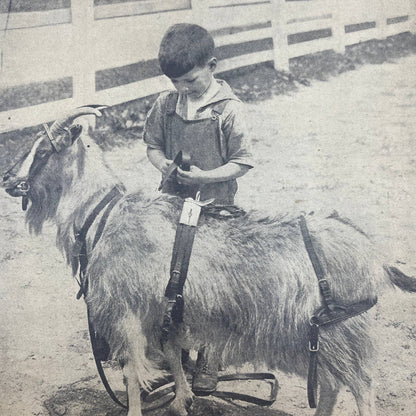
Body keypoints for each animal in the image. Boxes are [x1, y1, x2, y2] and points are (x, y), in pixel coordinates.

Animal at [3, 108, 416, 416]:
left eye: (43, 152)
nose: (8, 179)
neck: (103, 215)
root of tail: (372, 255)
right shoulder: (165, 311)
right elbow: (172, 357)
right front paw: (181, 401)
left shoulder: (126, 313)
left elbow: (132, 374)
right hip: (318, 341)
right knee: (331, 385)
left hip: (339, 333)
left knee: (361, 386)